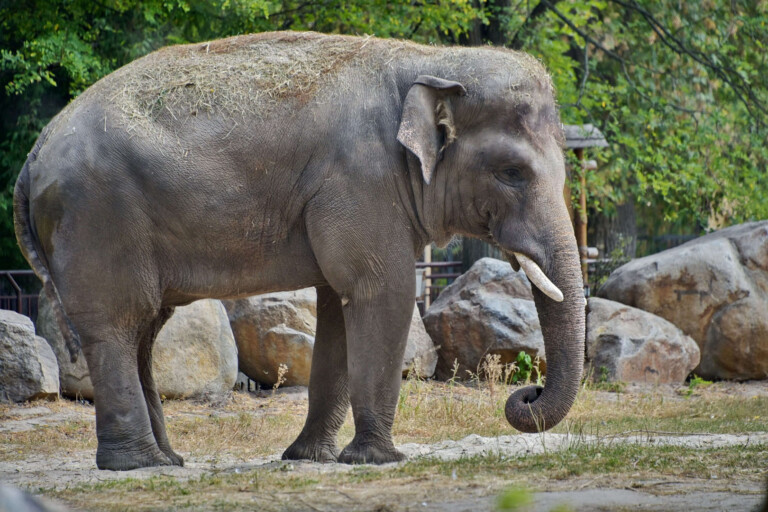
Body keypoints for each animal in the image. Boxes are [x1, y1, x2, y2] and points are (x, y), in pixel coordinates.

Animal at [14, 31, 585, 470]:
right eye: (512, 173)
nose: (526, 395)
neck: (432, 60)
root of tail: (34, 153)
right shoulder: (361, 181)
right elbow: (382, 292)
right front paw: (377, 460)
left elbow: (338, 307)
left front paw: (311, 458)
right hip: (96, 216)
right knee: (117, 324)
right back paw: (138, 465)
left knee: (144, 329)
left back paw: (168, 461)